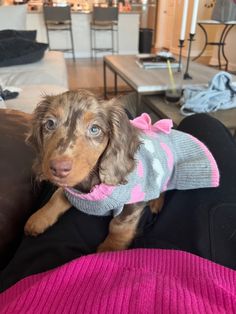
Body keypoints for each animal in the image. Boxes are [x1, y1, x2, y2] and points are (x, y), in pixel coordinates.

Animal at [24, 89, 162, 251]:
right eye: (50, 123)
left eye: (94, 129)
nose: (58, 169)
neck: (90, 180)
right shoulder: (73, 188)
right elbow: (57, 196)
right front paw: (39, 218)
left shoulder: (134, 202)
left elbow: (119, 225)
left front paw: (110, 249)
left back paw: (156, 202)